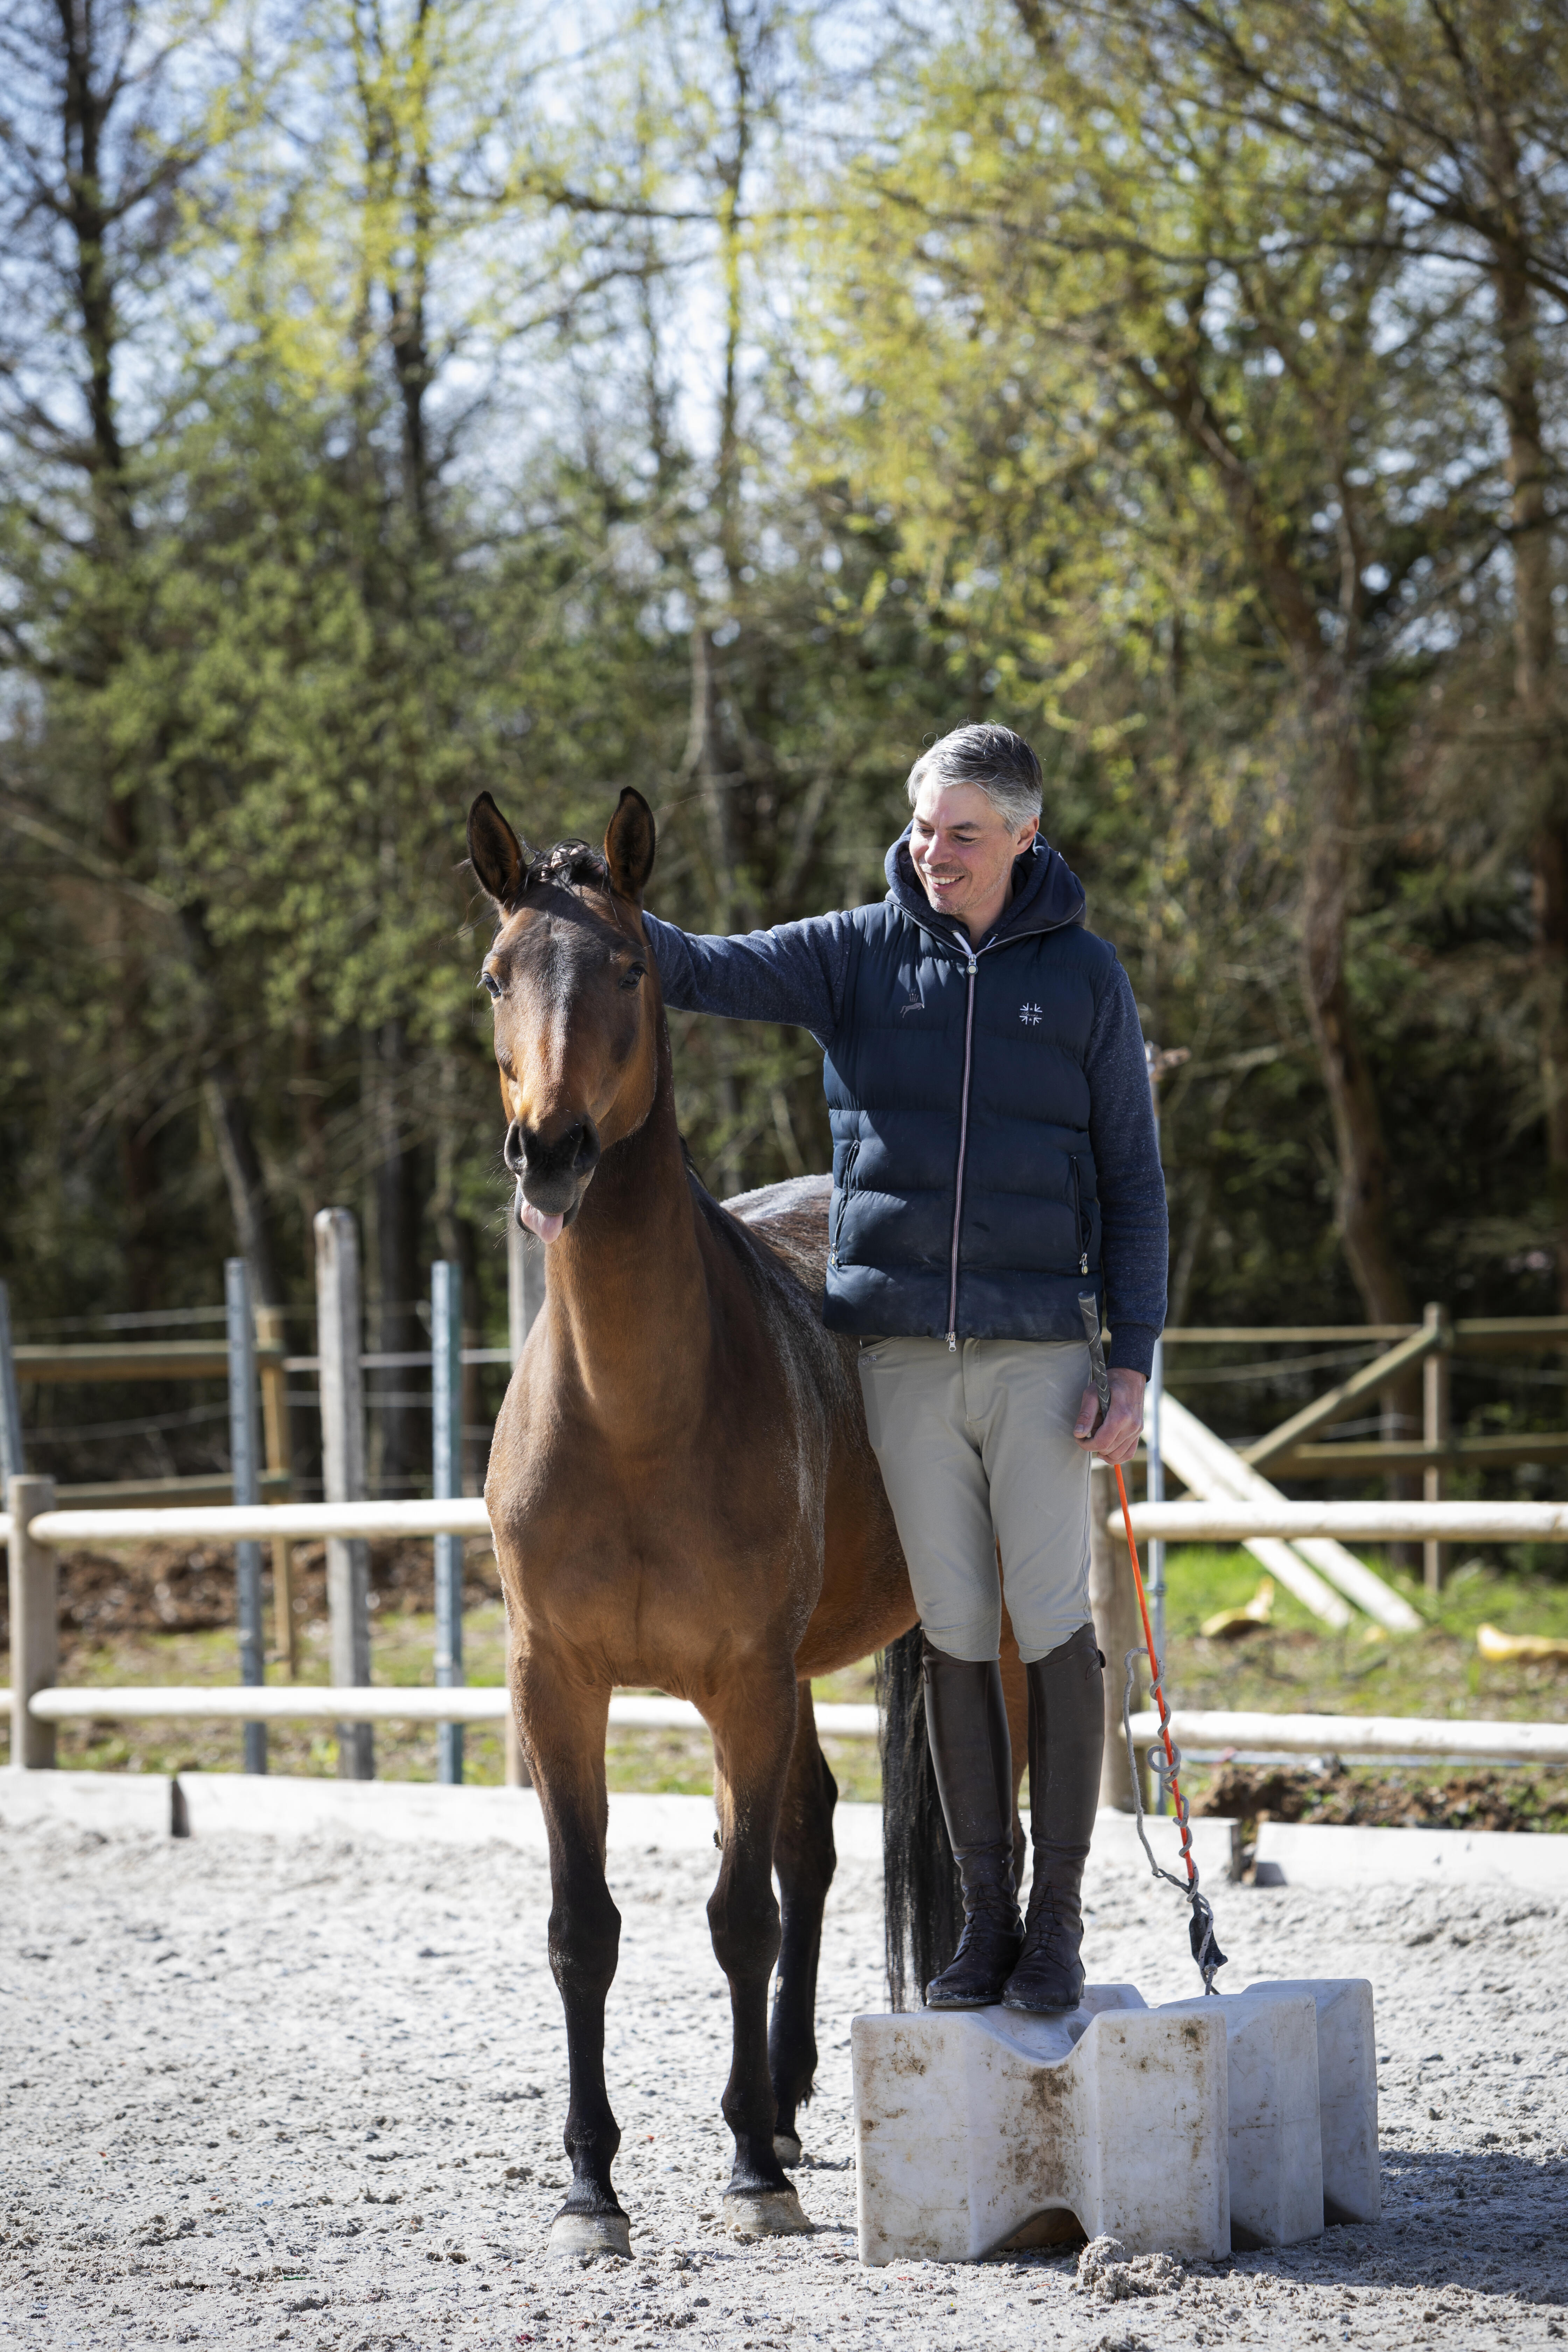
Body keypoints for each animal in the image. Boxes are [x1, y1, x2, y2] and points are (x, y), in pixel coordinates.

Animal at [467, 782, 1027, 2257]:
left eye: (629, 966)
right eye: (497, 976)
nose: (550, 1150)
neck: (633, 1414)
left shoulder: (737, 1679)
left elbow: (736, 1919)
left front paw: (747, 2174)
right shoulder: (559, 1683)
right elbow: (584, 1925)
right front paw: (592, 2186)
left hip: (947, 1637)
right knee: (812, 1839)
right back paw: (779, 2099)